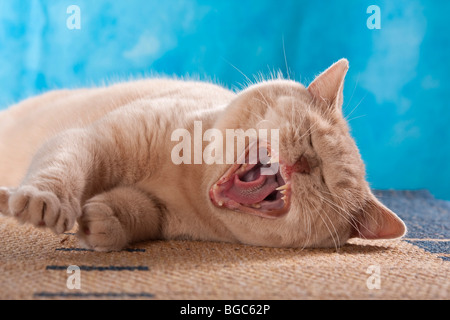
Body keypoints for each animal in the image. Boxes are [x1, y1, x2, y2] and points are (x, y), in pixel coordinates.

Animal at [0, 58, 408, 251]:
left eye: (327, 182)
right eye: (310, 137)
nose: (306, 163)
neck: (187, 181)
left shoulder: (160, 215)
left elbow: (137, 211)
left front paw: (102, 221)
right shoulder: (92, 141)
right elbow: (61, 169)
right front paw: (44, 201)